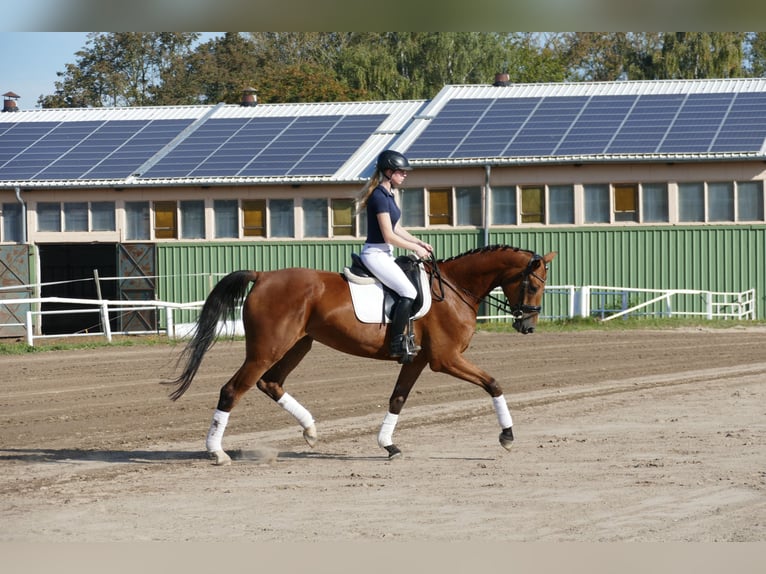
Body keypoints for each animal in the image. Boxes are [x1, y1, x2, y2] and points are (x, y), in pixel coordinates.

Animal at [165, 245, 560, 466]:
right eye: (532, 284)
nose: (528, 326)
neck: (454, 289)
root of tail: (263, 276)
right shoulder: (445, 360)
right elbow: (493, 383)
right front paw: (507, 437)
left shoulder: (418, 361)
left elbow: (397, 399)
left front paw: (389, 446)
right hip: (267, 349)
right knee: (233, 390)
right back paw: (217, 453)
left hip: (298, 345)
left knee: (271, 383)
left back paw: (311, 431)